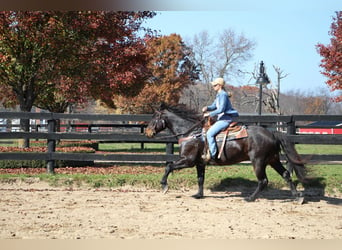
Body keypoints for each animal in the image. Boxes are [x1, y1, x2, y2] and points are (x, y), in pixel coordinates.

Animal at [145, 102, 308, 202]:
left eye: (154, 117)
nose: (147, 132)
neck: (192, 134)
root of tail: (272, 134)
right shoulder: (199, 163)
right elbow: (200, 179)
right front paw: (198, 195)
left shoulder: (188, 160)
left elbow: (168, 166)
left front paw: (164, 186)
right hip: (273, 159)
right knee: (286, 174)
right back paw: (297, 197)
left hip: (258, 161)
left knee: (263, 181)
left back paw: (250, 198)